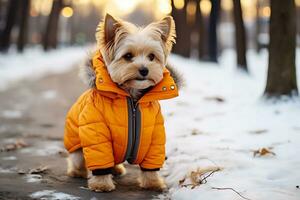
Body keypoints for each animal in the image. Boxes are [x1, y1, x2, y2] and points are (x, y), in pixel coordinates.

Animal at [63, 13, 180, 192]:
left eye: (152, 57)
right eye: (128, 56)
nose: (144, 70)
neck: (132, 98)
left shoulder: (155, 135)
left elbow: (152, 163)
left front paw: (153, 182)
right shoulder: (97, 133)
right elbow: (100, 157)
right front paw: (102, 184)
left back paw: (116, 169)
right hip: (76, 147)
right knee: (78, 159)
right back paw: (78, 172)